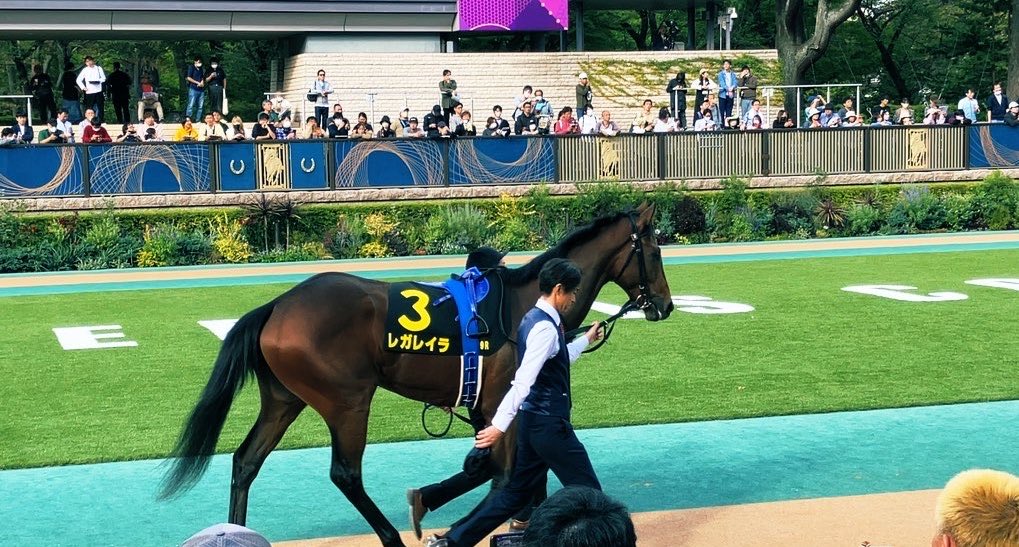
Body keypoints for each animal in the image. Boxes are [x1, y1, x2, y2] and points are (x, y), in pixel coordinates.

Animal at [160, 202, 675, 547]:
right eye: (655, 250)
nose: (666, 305)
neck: (525, 302)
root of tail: (276, 306)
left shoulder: (491, 407)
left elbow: (494, 467)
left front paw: (445, 502)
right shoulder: (498, 401)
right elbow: (503, 472)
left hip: (286, 398)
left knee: (246, 461)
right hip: (347, 400)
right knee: (345, 473)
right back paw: (390, 537)